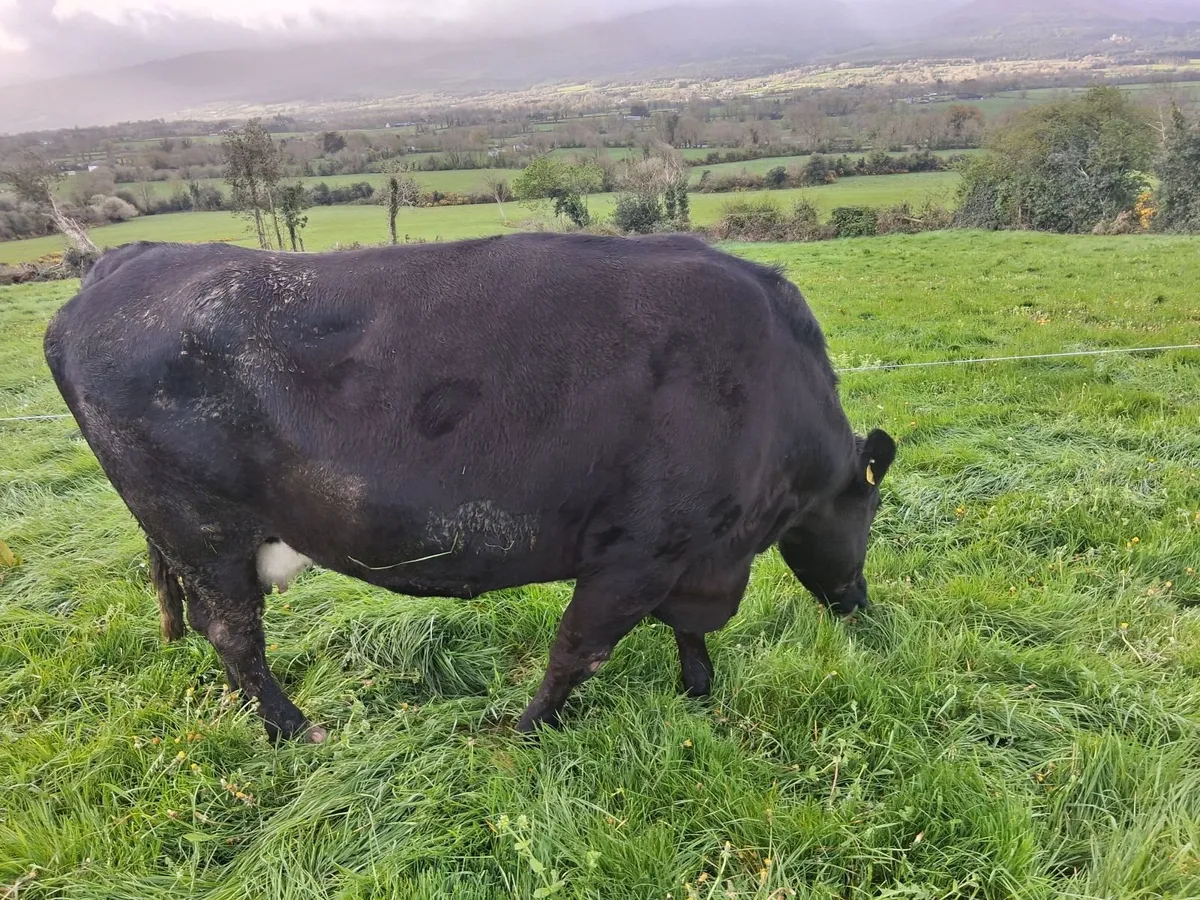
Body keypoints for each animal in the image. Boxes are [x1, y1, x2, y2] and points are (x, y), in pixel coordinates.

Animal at [43, 233, 896, 744]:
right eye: (870, 511)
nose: (860, 603)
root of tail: (128, 259)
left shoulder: (691, 556)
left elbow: (687, 631)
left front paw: (697, 691)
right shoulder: (639, 551)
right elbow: (577, 652)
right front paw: (525, 732)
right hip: (201, 530)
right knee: (232, 634)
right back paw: (293, 730)